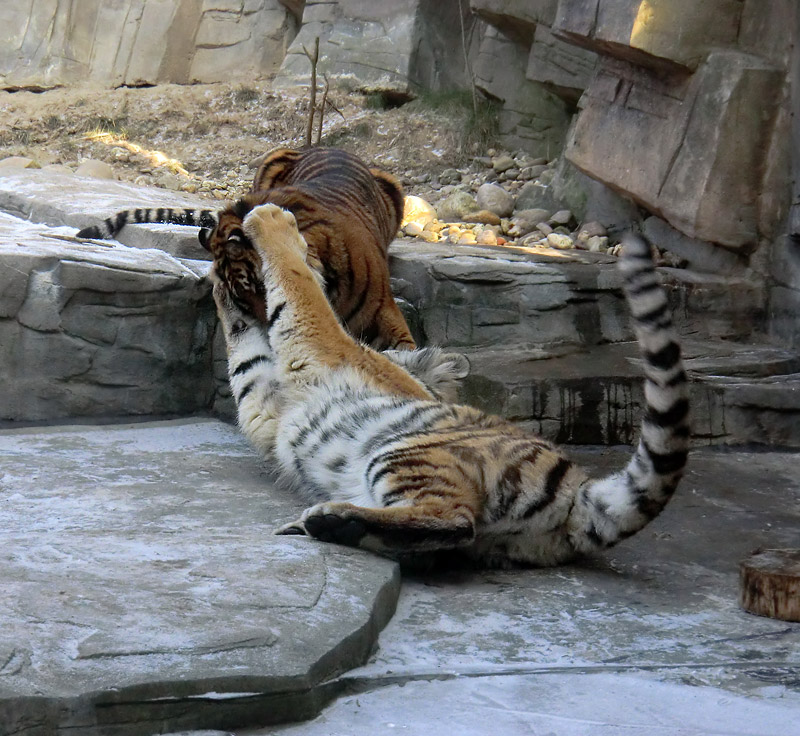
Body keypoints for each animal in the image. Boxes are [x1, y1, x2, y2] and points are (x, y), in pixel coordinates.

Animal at [211, 204, 688, 568]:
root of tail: (577, 495)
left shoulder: (329, 345)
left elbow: (297, 286)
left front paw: (270, 220)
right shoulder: (266, 401)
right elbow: (245, 348)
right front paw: (222, 280)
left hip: (406, 450)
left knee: (454, 520)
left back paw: (331, 520)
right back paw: (325, 523)